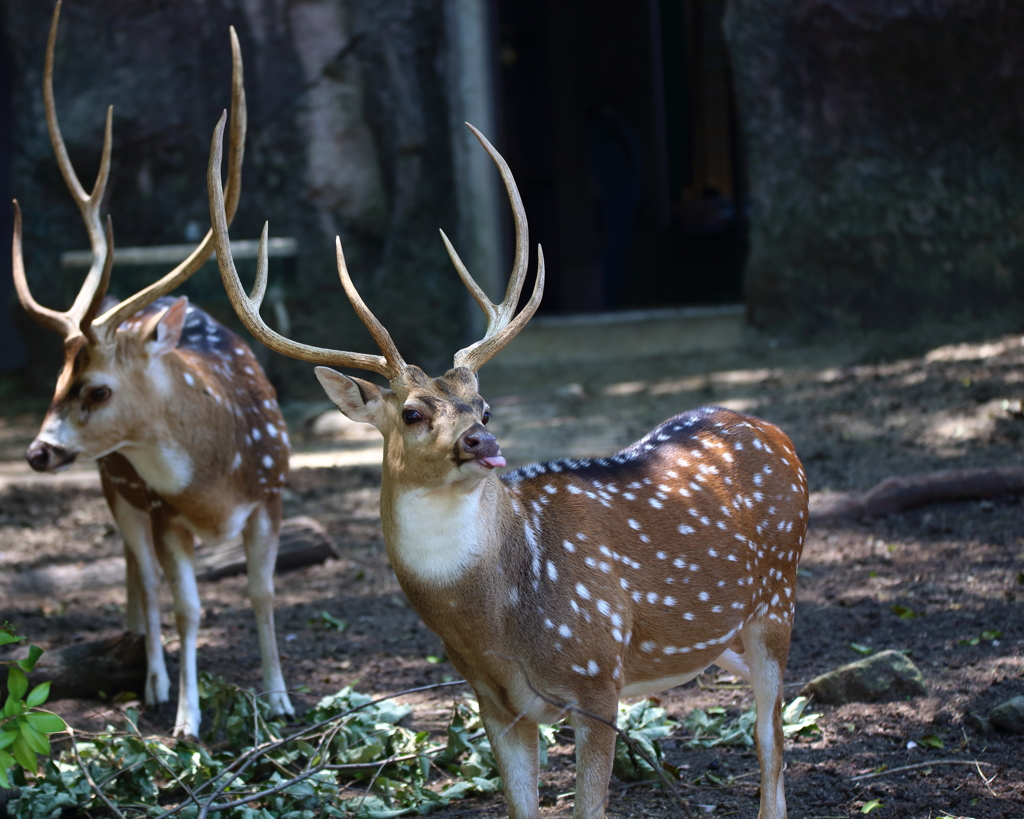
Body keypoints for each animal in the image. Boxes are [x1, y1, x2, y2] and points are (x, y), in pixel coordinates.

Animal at [12, 1, 294, 737]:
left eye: (96, 388)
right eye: (56, 382)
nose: (36, 451)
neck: (216, 478)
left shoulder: (272, 495)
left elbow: (262, 591)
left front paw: (280, 698)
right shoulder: (165, 513)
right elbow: (190, 605)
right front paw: (187, 719)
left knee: (138, 573)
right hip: (116, 487)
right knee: (140, 572)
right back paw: (151, 675)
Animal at [207, 113, 802, 818]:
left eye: (484, 406)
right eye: (412, 412)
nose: (481, 443)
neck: (498, 622)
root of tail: (774, 431)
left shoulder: (598, 676)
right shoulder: (493, 701)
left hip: (778, 598)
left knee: (772, 741)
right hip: (724, 632)